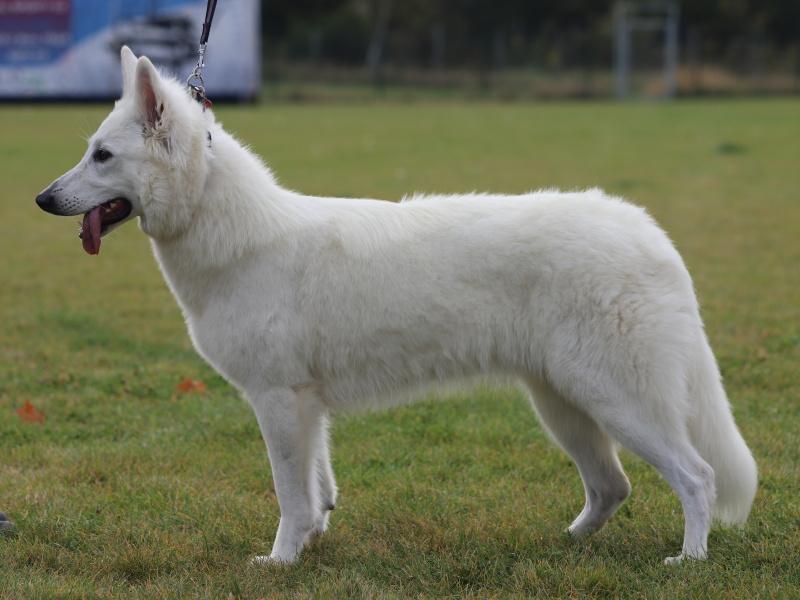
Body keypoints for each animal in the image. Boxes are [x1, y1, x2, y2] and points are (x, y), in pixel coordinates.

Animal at [32, 48, 756, 568]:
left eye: (102, 155)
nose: (41, 199)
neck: (235, 234)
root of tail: (648, 234)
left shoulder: (279, 400)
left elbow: (289, 494)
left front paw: (280, 562)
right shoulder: (307, 407)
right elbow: (317, 490)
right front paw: (311, 543)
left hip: (616, 400)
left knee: (695, 476)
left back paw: (688, 561)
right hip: (565, 404)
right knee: (613, 487)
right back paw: (562, 545)